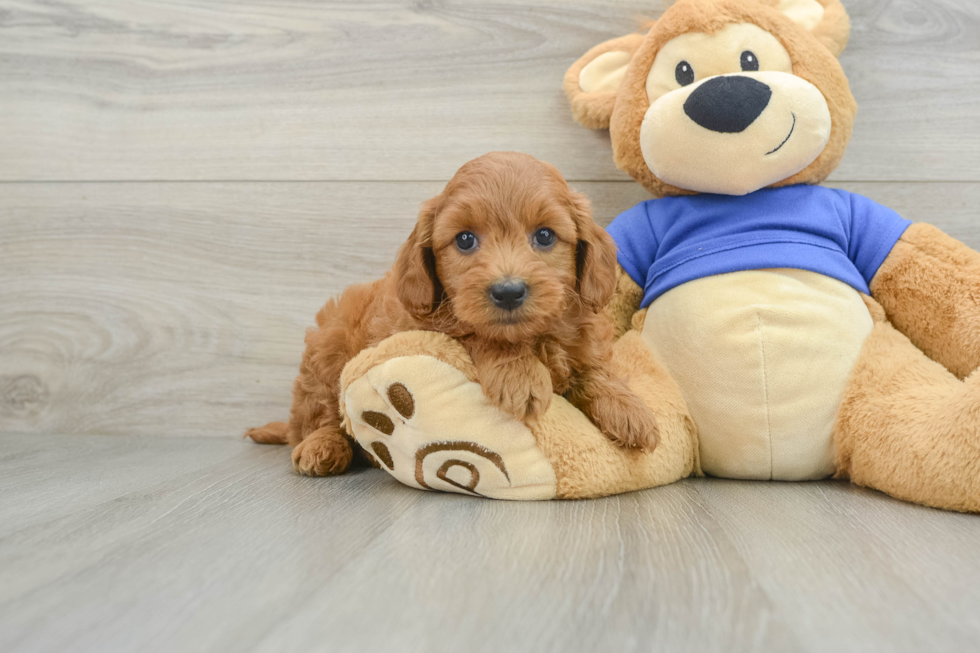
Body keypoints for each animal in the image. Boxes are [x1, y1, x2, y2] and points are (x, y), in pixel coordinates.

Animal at [245, 150, 660, 474]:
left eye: (544, 235)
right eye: (464, 240)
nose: (508, 292)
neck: (531, 336)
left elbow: (593, 370)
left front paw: (629, 409)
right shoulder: (428, 326)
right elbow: (478, 333)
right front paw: (521, 376)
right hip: (328, 350)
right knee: (321, 417)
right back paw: (322, 447)